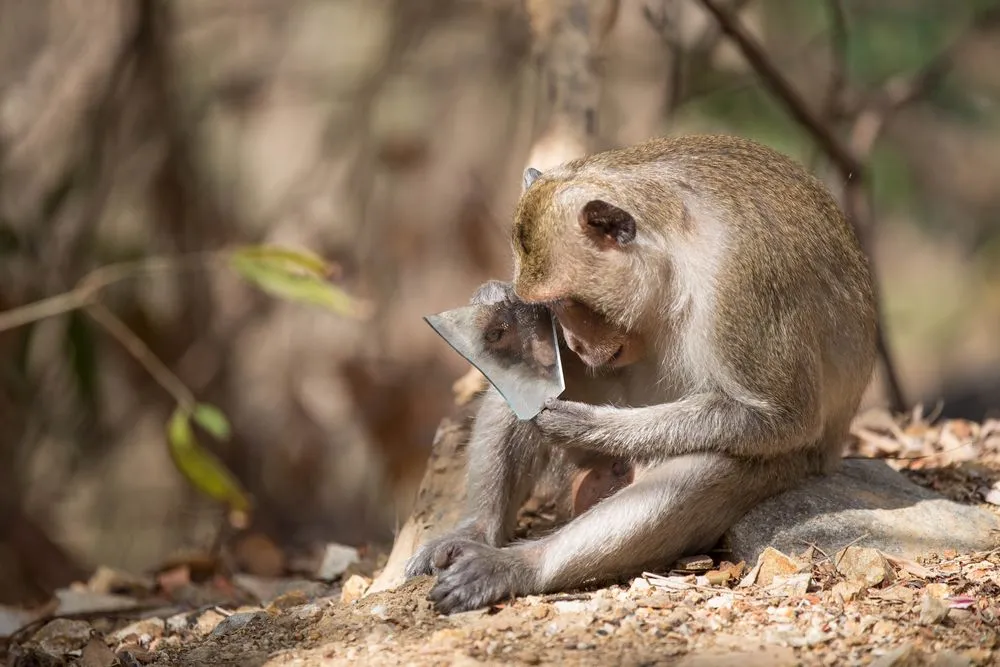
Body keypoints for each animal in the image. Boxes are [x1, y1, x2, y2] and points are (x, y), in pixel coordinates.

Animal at [405, 134, 877, 614]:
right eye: (550, 307)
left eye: (571, 303)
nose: (573, 341)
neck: (675, 250)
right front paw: (497, 303)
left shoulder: (744, 281)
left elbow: (782, 418)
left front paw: (589, 425)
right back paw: (478, 530)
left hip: (792, 466)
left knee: (715, 461)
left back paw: (517, 565)